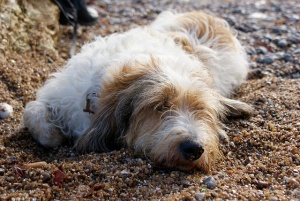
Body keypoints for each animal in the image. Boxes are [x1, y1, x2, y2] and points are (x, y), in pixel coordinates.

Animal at [22, 10, 252, 171]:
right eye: (159, 106)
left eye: (201, 108)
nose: (194, 148)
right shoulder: (58, 94)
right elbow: (33, 114)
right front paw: (55, 135)